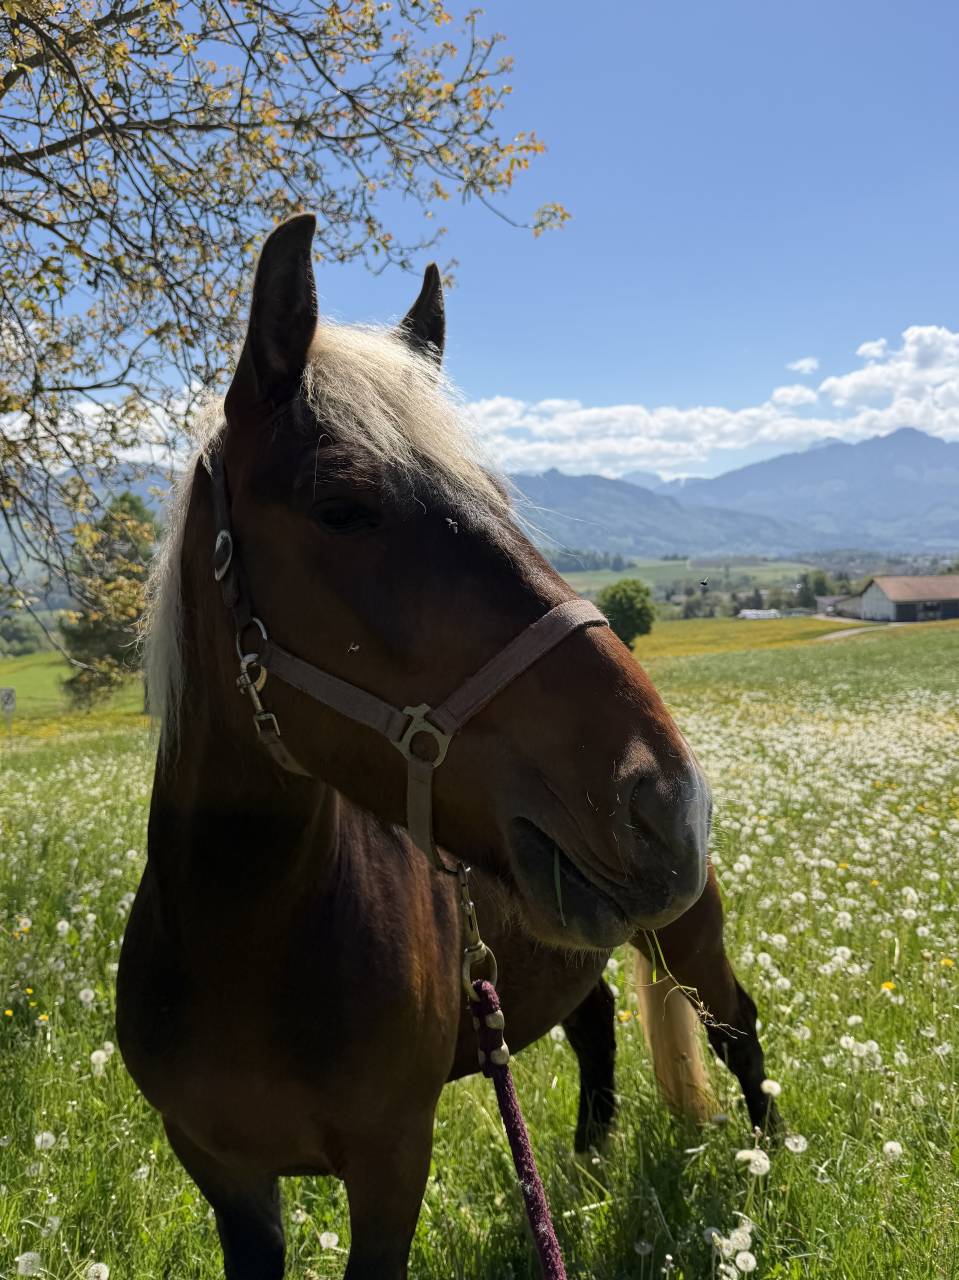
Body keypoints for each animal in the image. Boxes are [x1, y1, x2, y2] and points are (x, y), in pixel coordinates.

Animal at [116, 214, 778, 1280]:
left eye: (502, 500)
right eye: (342, 506)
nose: (662, 800)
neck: (243, 940)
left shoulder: (393, 1164)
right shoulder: (222, 1174)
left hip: (685, 933)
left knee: (735, 1027)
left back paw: (767, 1164)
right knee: (593, 1025)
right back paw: (585, 1169)